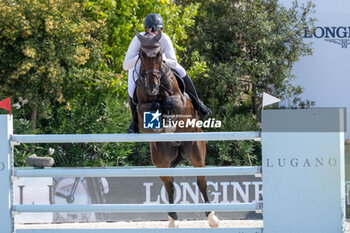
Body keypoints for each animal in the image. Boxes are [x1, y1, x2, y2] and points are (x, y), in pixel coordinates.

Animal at [133, 29, 219, 228]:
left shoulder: (181, 102)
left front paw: (168, 118)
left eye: (159, 54)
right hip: (161, 160)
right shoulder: (141, 110)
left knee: (201, 183)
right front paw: (160, 118)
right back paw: (173, 219)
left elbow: (171, 101)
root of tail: (179, 148)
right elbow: (151, 107)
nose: (152, 86)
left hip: (196, 153)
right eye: (141, 55)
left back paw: (212, 217)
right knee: (170, 185)